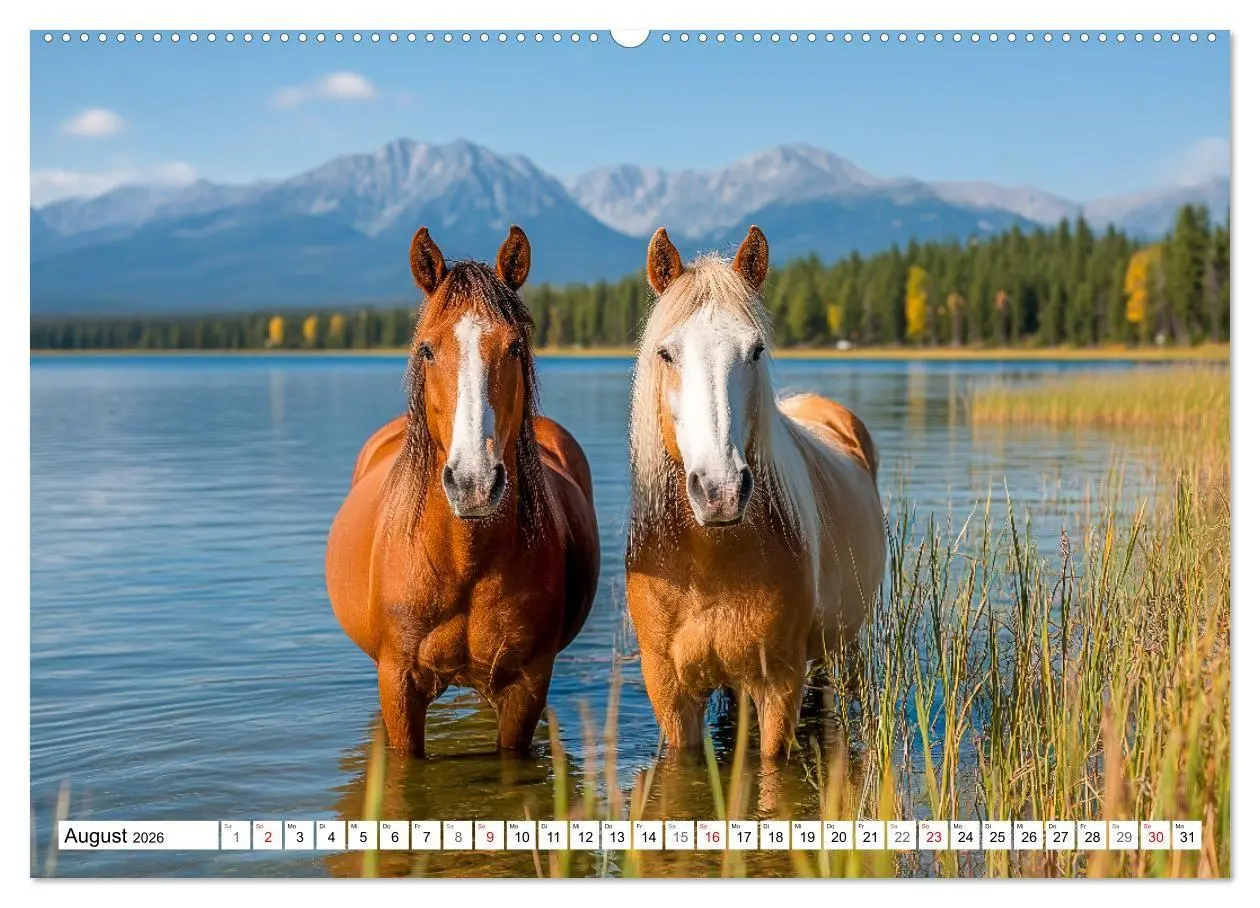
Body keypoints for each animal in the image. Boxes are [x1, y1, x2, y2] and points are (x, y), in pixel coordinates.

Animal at [325, 225, 600, 757]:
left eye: (515, 347)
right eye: (427, 349)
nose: (474, 482)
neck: (462, 559)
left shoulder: (526, 687)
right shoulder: (398, 685)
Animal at [624, 225, 886, 763]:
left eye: (756, 351)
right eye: (666, 353)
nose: (720, 490)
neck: (708, 564)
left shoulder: (779, 684)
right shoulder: (670, 693)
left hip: (837, 652)